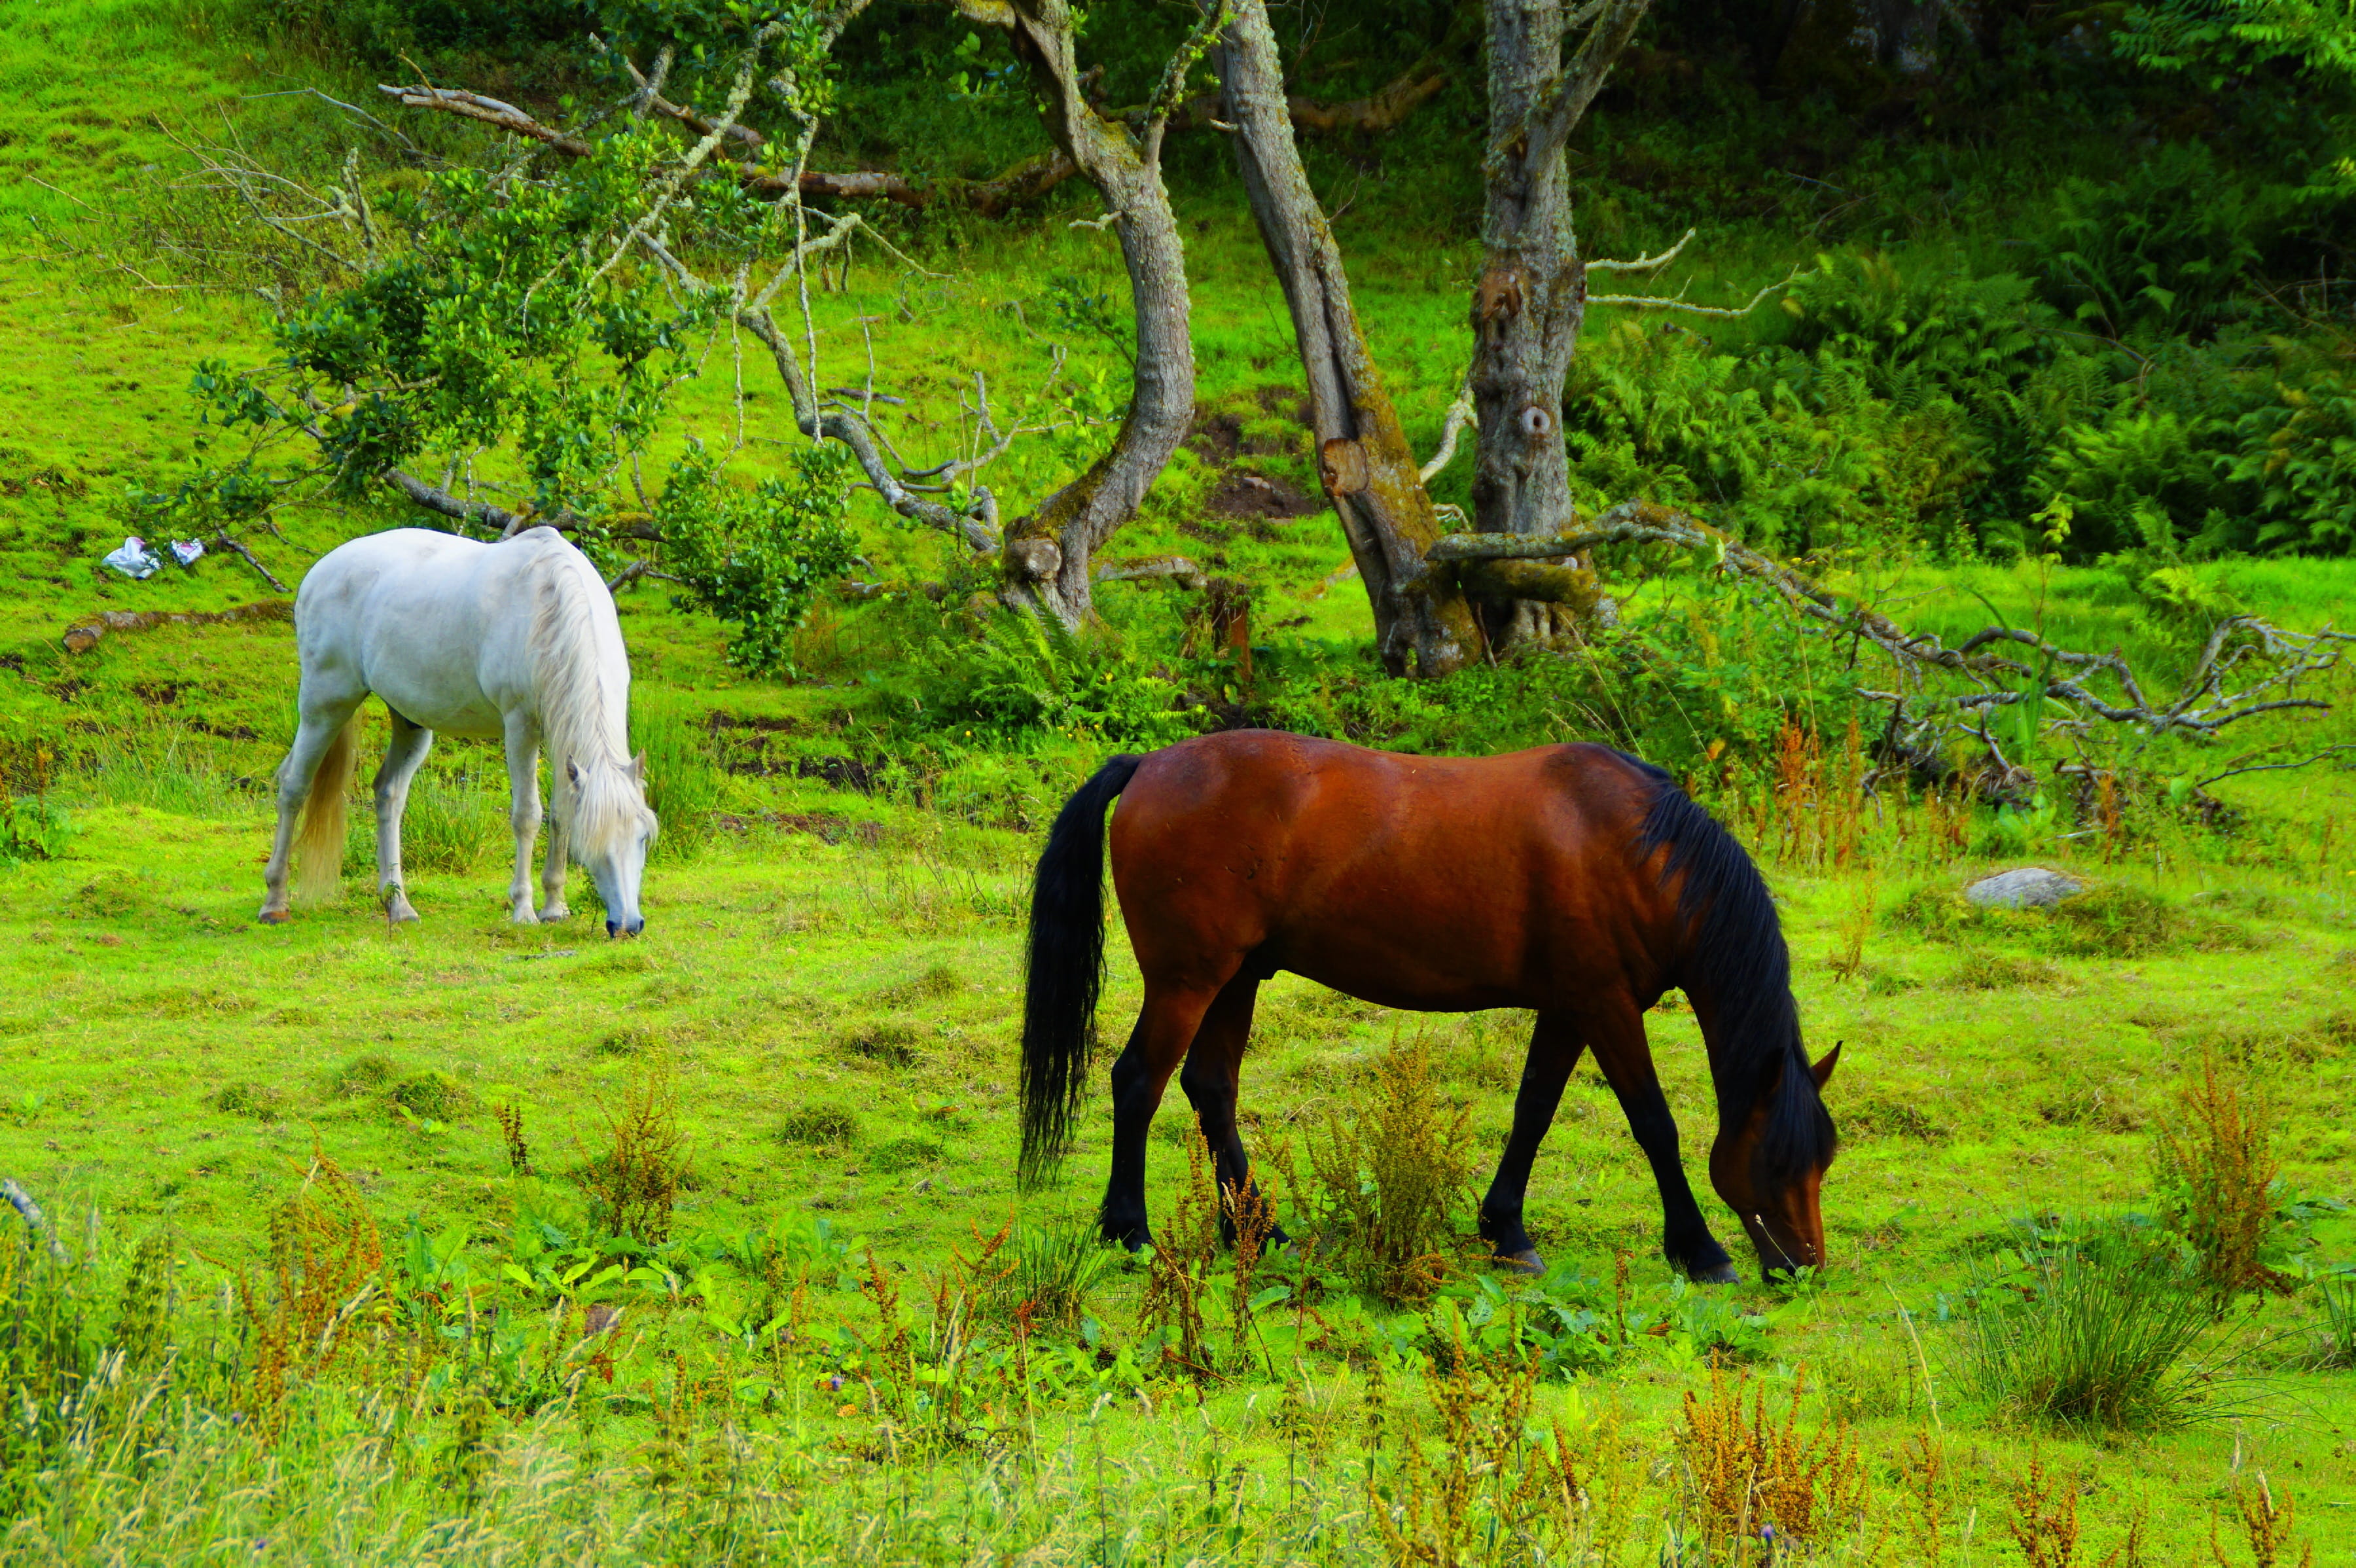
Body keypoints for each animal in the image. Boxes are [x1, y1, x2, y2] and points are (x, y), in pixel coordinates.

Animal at [258, 526, 658, 937]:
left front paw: (555, 907)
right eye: (595, 842)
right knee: (293, 787)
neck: (549, 604)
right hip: (326, 705)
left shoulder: (560, 734)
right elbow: (527, 815)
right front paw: (524, 909)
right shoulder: (521, 727)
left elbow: (561, 814)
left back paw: (398, 905)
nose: (628, 924)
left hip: (410, 722)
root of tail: (319, 572)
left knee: (388, 794)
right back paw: (275, 902)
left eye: (643, 836)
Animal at [1018, 730, 1840, 1282]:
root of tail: (1148, 764)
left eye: (1824, 1157)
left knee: (1209, 1087)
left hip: (1237, 977)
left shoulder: (1569, 1006)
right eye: (1777, 1158)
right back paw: (1129, 1231)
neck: (1632, 847)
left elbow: (1533, 1109)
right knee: (1138, 1082)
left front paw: (1506, 1229)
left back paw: (1256, 1230)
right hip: (1189, 979)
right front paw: (1699, 1248)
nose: (1803, 1264)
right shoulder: (1604, 1005)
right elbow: (1655, 1125)